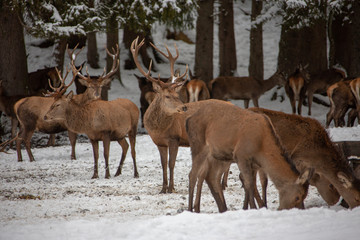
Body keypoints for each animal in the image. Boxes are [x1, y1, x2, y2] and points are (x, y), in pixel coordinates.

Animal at [183, 99, 312, 212]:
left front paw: (246, 207)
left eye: (305, 196)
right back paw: (191, 209)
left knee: (211, 176)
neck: (262, 146)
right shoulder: (241, 155)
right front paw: (254, 207)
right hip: (198, 145)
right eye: (297, 197)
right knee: (193, 175)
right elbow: (249, 183)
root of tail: (189, 120)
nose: (300, 209)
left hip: (216, 155)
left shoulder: (254, 163)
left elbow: (250, 182)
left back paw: (222, 208)